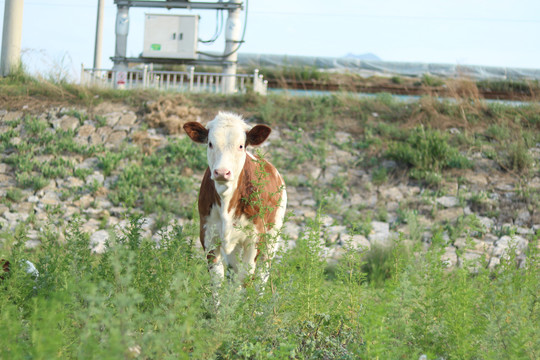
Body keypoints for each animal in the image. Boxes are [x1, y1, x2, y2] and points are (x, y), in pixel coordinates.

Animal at [184, 112, 286, 284]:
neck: (226, 203)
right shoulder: (208, 234)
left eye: (241, 146)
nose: (222, 172)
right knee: (233, 273)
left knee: (262, 274)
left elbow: (245, 278)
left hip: (272, 235)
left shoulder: (254, 239)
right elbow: (218, 279)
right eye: (210, 143)